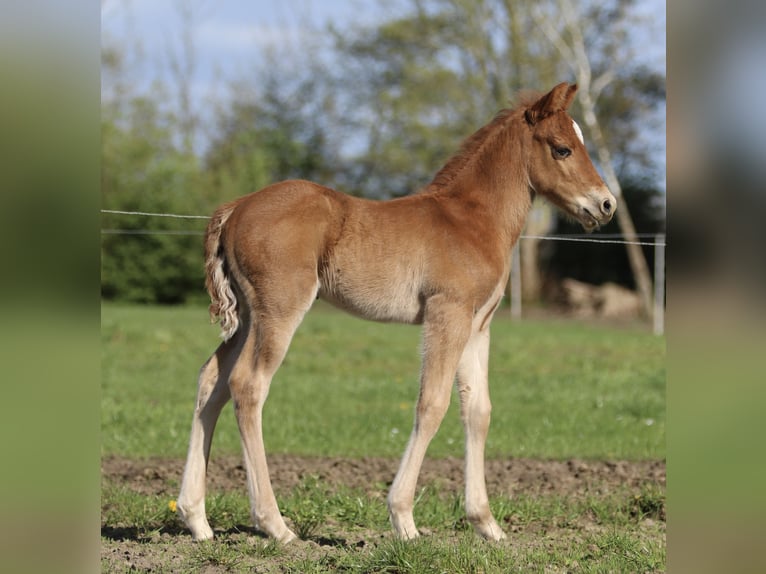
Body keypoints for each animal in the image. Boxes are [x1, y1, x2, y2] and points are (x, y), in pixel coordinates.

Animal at [177, 82, 616, 544]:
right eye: (562, 148)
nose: (606, 204)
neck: (472, 220)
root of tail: (236, 208)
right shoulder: (447, 313)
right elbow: (432, 404)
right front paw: (404, 519)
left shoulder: (478, 325)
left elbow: (478, 410)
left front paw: (487, 525)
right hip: (278, 310)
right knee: (248, 384)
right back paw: (275, 525)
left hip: (247, 317)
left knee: (212, 379)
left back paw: (196, 519)